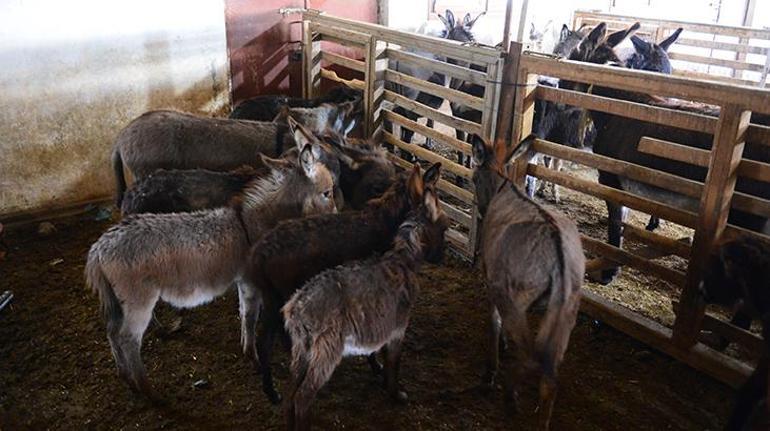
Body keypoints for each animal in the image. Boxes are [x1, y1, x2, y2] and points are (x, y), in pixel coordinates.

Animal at [85, 123, 334, 404]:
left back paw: (126, 378)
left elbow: (243, 314)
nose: (337, 217)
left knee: (112, 333)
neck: (249, 223)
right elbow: (251, 316)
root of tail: (99, 249)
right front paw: (254, 357)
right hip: (139, 301)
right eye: (327, 193)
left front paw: (246, 350)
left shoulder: (242, 280)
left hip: (118, 301)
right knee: (128, 340)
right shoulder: (250, 281)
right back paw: (148, 390)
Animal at [246, 162, 438, 404]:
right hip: (279, 295)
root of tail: (257, 257)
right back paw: (273, 391)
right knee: (266, 343)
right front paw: (377, 367)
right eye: (429, 195)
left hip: (272, 297)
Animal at [282, 186, 450, 431]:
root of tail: (297, 307)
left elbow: (383, 356)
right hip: (326, 350)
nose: (441, 258)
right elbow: (394, 362)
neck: (403, 259)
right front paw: (396, 394)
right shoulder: (398, 329)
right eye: (444, 228)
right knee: (303, 396)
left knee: (290, 394)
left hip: (302, 349)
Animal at [472, 137, 580, 430]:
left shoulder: (493, 281)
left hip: (515, 300)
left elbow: (494, 322)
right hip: (566, 312)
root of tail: (557, 256)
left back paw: (510, 395)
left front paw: (491, 370)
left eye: (473, 179)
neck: (502, 186)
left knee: (532, 355)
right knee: (550, 377)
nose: (481, 210)